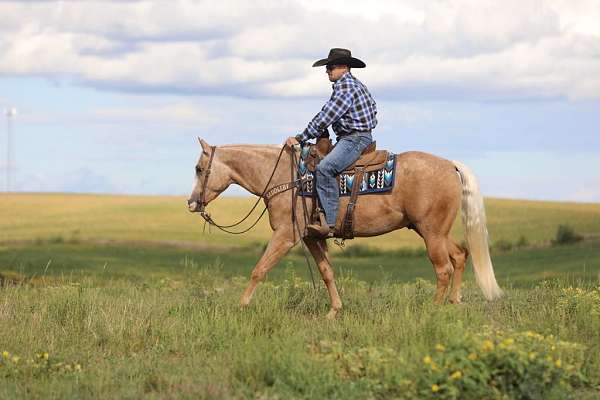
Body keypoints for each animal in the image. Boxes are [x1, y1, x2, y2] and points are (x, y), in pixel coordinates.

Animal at [188, 138, 502, 318]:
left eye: (199, 169)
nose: (191, 203)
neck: (286, 178)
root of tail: (450, 165)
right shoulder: (311, 237)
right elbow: (327, 272)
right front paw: (334, 311)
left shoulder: (286, 235)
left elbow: (259, 269)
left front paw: (241, 306)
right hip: (432, 231)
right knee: (460, 255)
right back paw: (455, 302)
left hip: (432, 232)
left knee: (443, 268)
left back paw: (433, 309)